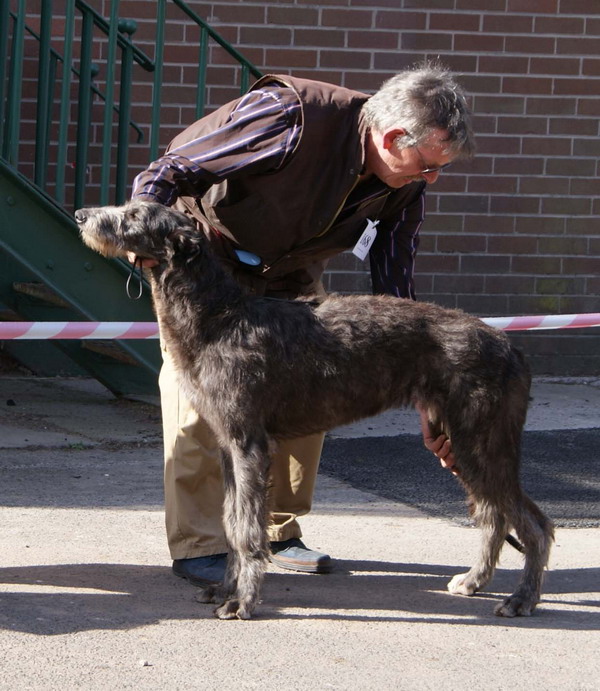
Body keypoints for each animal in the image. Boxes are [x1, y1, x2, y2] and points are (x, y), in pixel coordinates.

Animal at [75, 200, 552, 620]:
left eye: (134, 215)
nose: (81, 214)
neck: (220, 315)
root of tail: (509, 345)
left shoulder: (249, 445)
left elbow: (247, 530)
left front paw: (242, 601)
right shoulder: (229, 447)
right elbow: (231, 521)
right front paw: (226, 588)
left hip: (481, 439)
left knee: (533, 523)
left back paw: (521, 599)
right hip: (459, 442)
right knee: (495, 516)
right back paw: (474, 580)